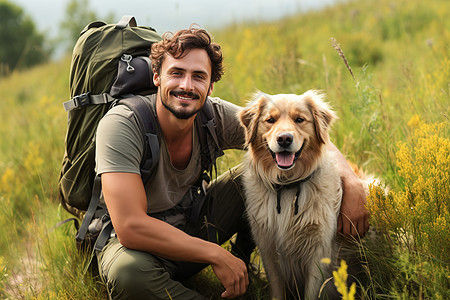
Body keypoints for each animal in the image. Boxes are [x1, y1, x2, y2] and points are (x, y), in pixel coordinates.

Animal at [241, 90, 368, 298]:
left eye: (299, 119)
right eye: (270, 120)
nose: (284, 139)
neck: (287, 186)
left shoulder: (319, 251)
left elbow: (312, 292)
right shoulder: (268, 247)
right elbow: (277, 290)